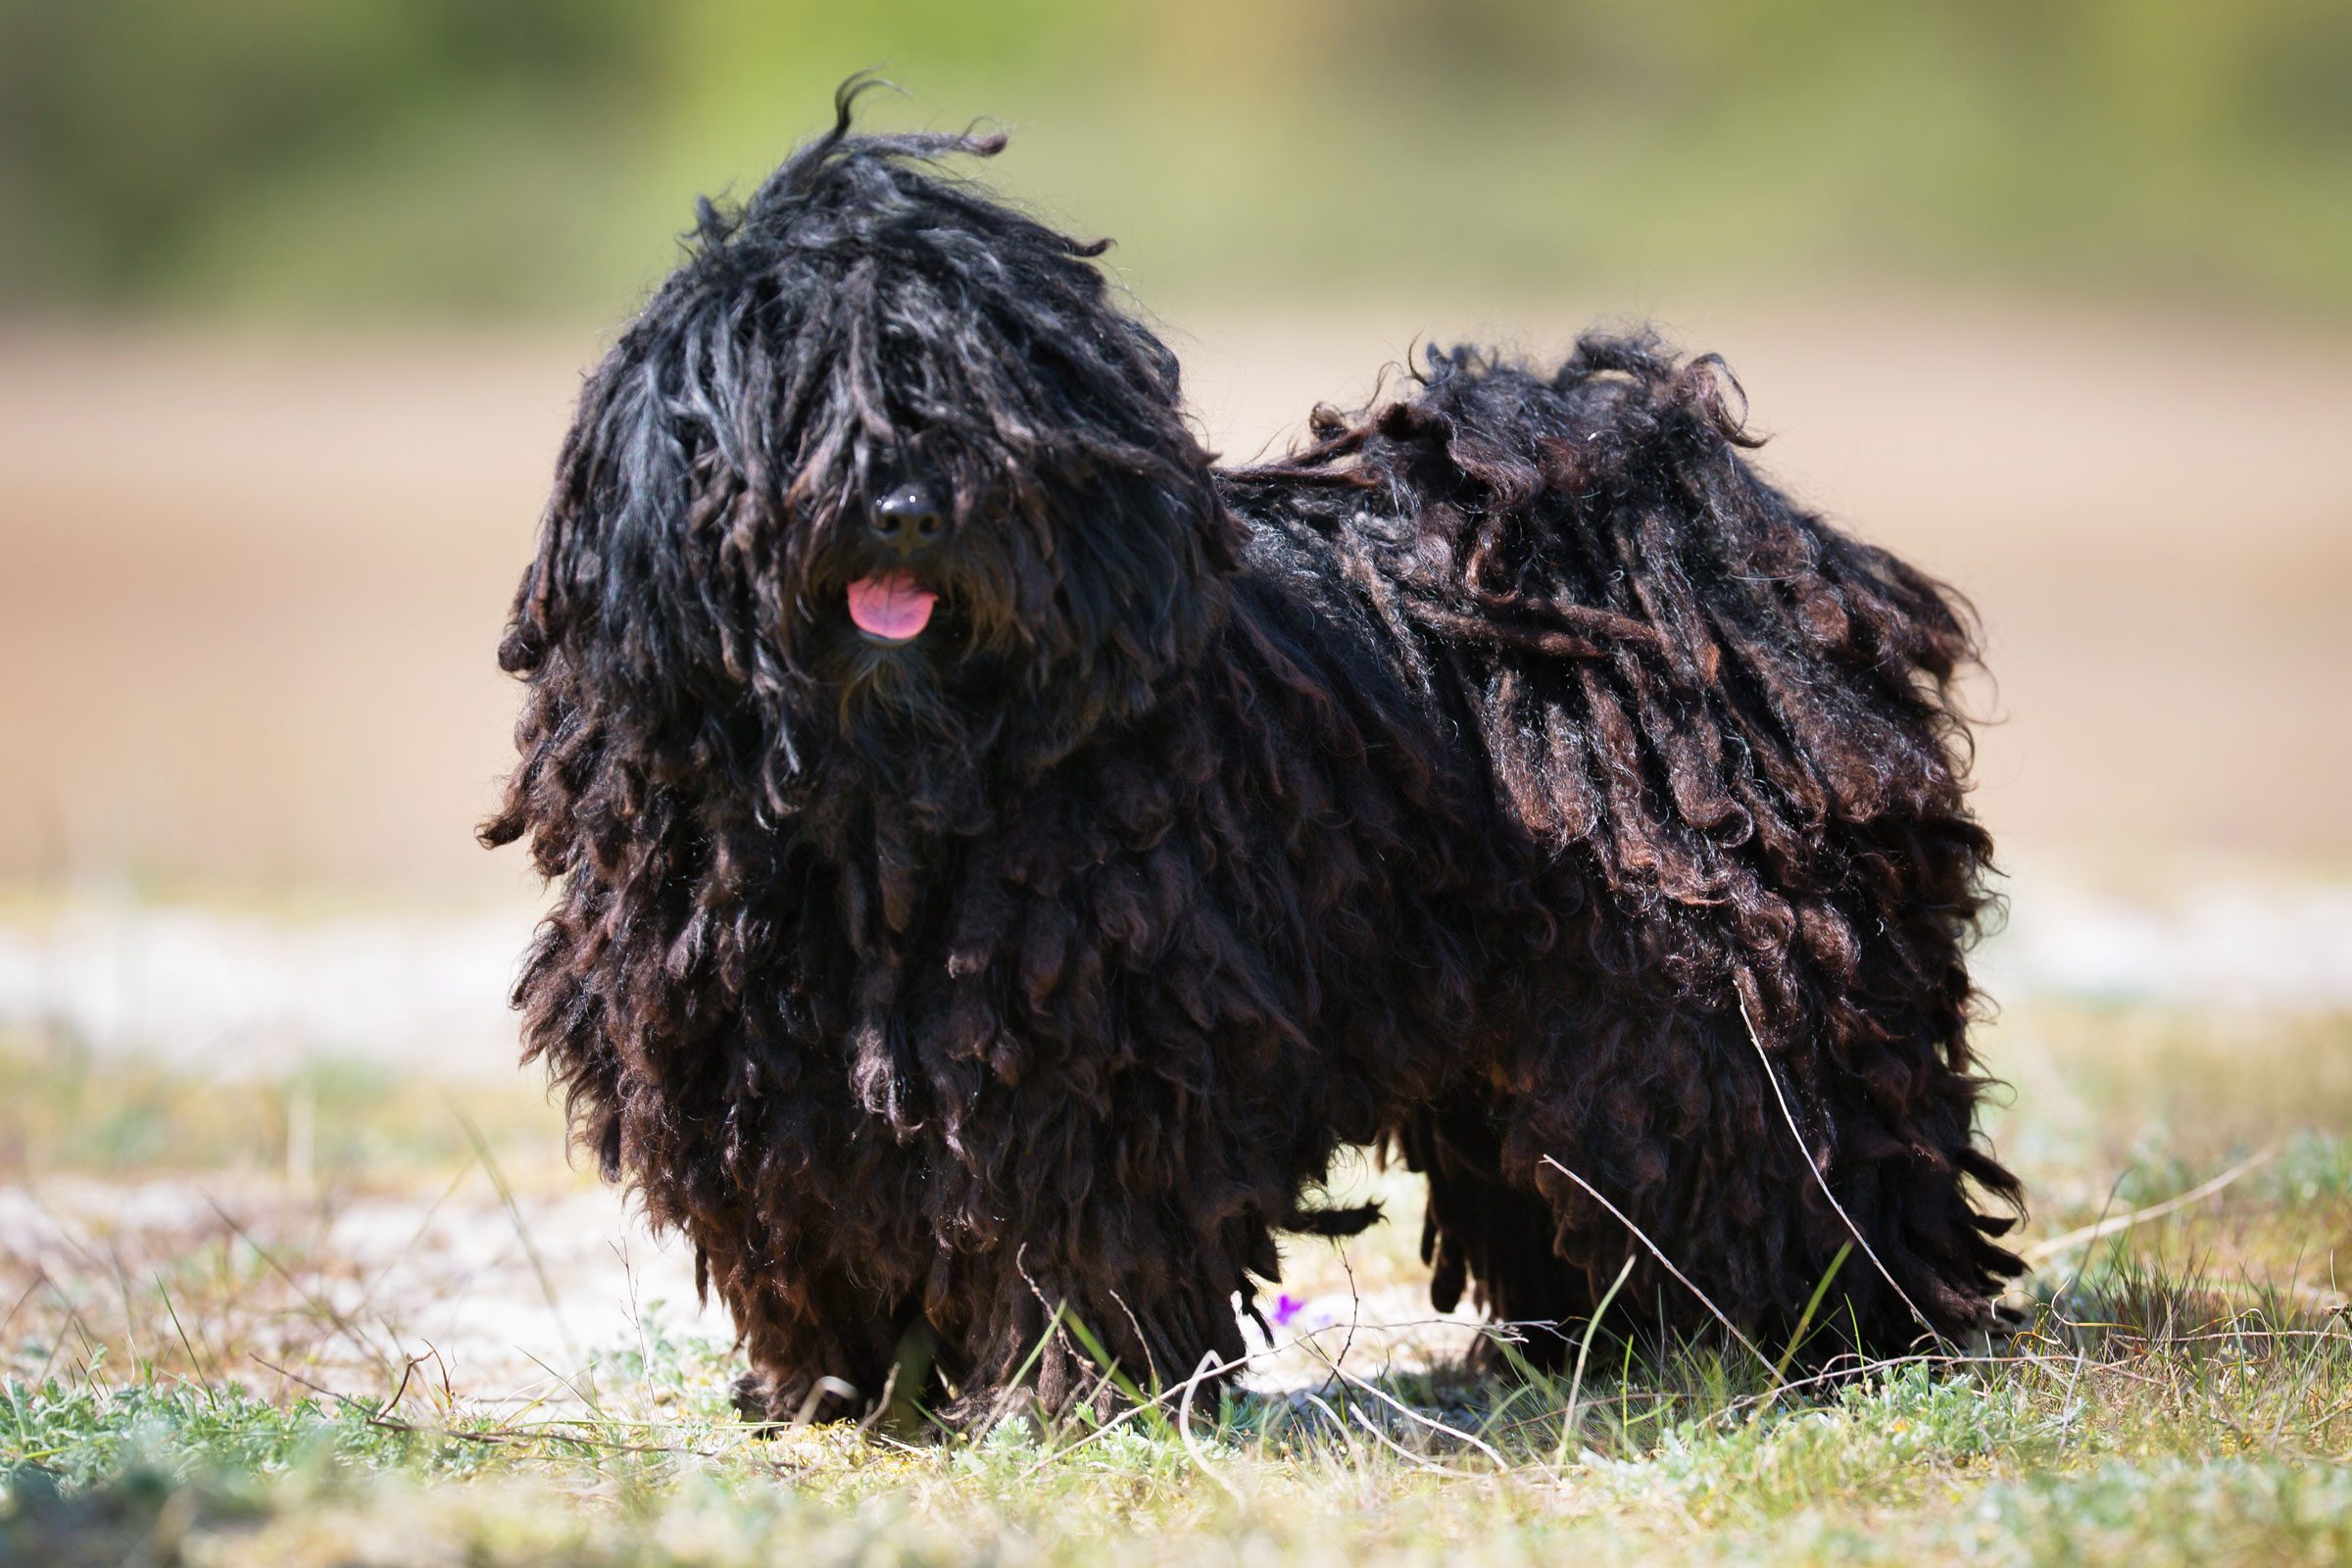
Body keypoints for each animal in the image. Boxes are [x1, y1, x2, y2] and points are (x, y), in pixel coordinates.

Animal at [482, 88, 2023, 1439]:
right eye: (798, 391)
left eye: (973, 400)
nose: (906, 508)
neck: (889, 809)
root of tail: (1700, 531)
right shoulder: (752, 1065)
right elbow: (804, 1227)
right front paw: (836, 1388)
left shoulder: (1097, 1059)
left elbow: (1072, 1238)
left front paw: (1064, 1403)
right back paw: (1608, 1340)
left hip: (1730, 980)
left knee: (1789, 1138)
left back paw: (1832, 1331)